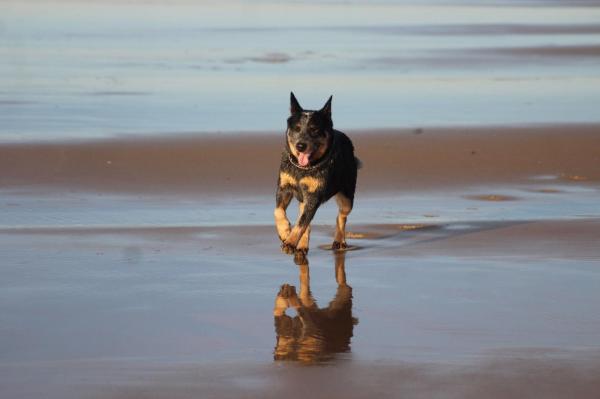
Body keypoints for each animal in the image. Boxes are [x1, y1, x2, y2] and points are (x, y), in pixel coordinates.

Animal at [274, 92, 358, 258]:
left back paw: (339, 240)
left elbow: (301, 223)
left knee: (341, 215)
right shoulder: (284, 187)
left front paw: (290, 242)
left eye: (314, 130)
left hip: (347, 196)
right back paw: (302, 245)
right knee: (305, 218)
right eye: (297, 128)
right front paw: (285, 232)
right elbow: (278, 211)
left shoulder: (314, 195)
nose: (300, 145)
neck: (303, 169)